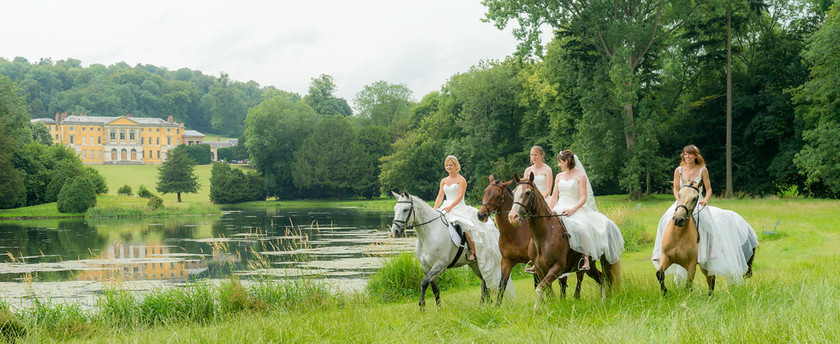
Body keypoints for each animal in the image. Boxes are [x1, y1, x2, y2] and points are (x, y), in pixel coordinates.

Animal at [506, 172, 616, 310]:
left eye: (527, 192)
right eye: (513, 192)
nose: (513, 217)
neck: (543, 236)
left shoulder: (557, 268)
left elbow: (540, 288)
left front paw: (536, 310)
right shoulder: (540, 270)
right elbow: (547, 292)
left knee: (604, 279)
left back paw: (605, 302)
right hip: (591, 266)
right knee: (601, 279)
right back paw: (603, 302)